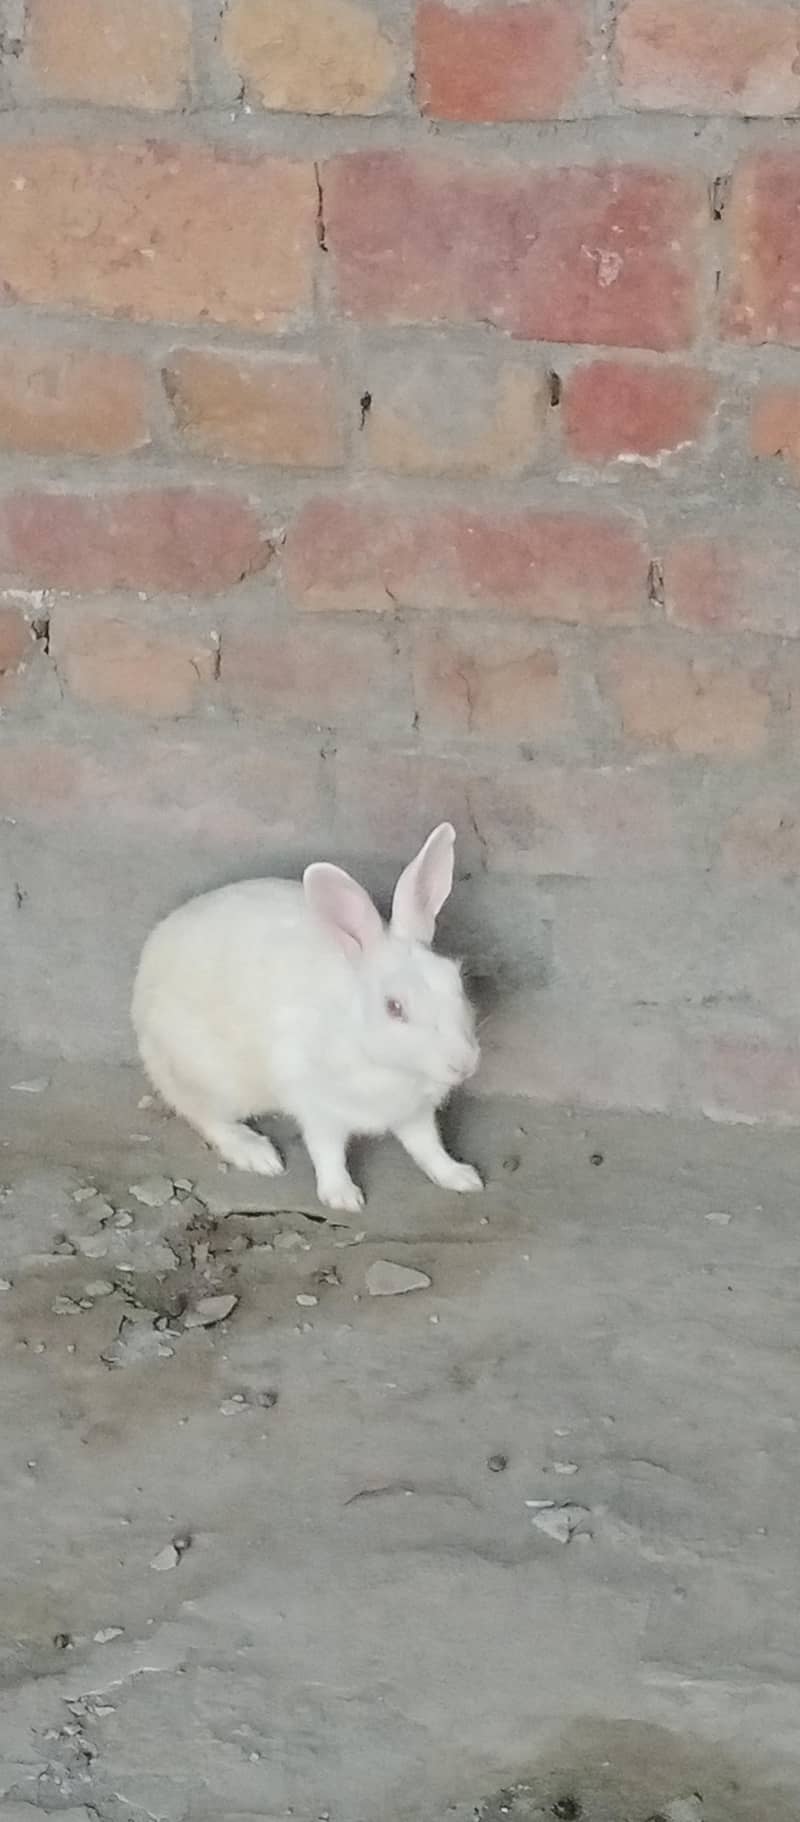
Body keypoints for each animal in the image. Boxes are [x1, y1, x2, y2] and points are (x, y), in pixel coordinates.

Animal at [131, 822, 483, 1213]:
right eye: (394, 1007)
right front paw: (343, 1197)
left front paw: (460, 1177)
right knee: (205, 1115)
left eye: (456, 980)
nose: (465, 1065)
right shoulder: (319, 1108)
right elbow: (327, 1152)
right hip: (207, 1073)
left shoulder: (414, 1112)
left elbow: (428, 1145)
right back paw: (257, 1154)